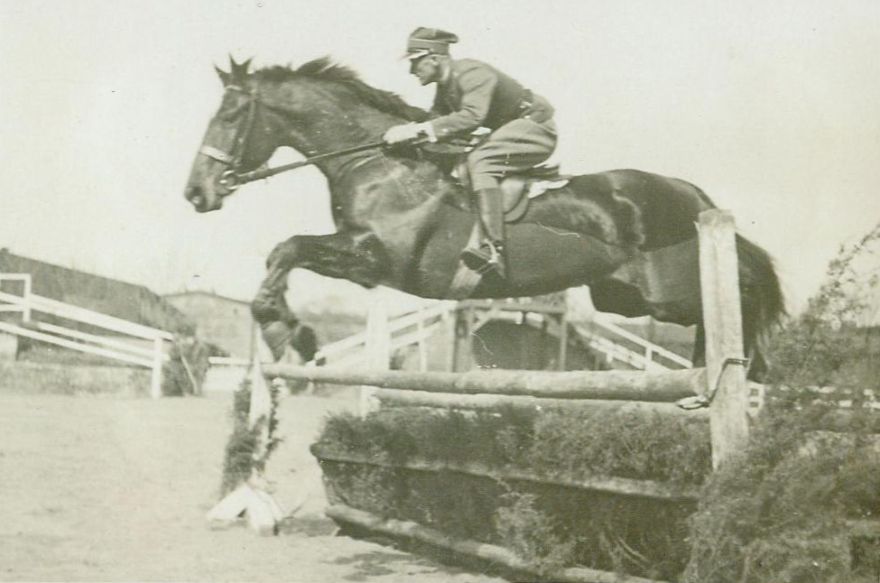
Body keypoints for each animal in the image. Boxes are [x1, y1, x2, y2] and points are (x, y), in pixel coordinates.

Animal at [184, 57, 785, 378]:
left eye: (231, 115)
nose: (196, 193)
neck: (378, 162)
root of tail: (694, 195)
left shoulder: (377, 258)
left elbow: (290, 247)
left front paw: (285, 334)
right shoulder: (361, 259)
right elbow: (285, 251)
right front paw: (293, 332)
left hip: (666, 291)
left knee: (739, 292)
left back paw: (745, 365)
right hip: (621, 296)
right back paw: (712, 368)